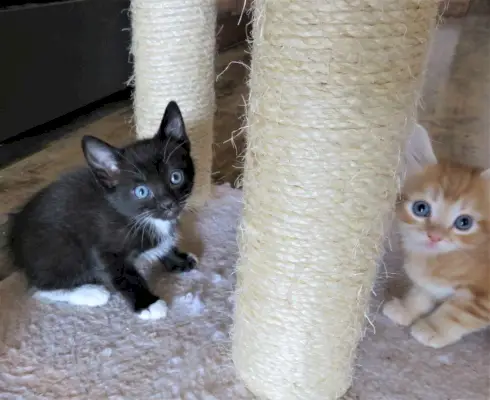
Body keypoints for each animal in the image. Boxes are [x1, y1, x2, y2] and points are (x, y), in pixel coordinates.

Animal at [7, 101, 195, 320]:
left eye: (176, 177)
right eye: (141, 191)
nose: (168, 204)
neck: (136, 217)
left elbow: (165, 243)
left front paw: (178, 259)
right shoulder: (104, 246)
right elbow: (124, 276)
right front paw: (147, 303)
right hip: (61, 246)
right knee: (39, 287)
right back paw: (90, 292)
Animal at [382, 124, 490, 346]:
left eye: (464, 222)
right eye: (421, 208)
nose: (434, 236)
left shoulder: (483, 298)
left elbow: (458, 313)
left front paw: (432, 328)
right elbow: (423, 290)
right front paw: (407, 308)